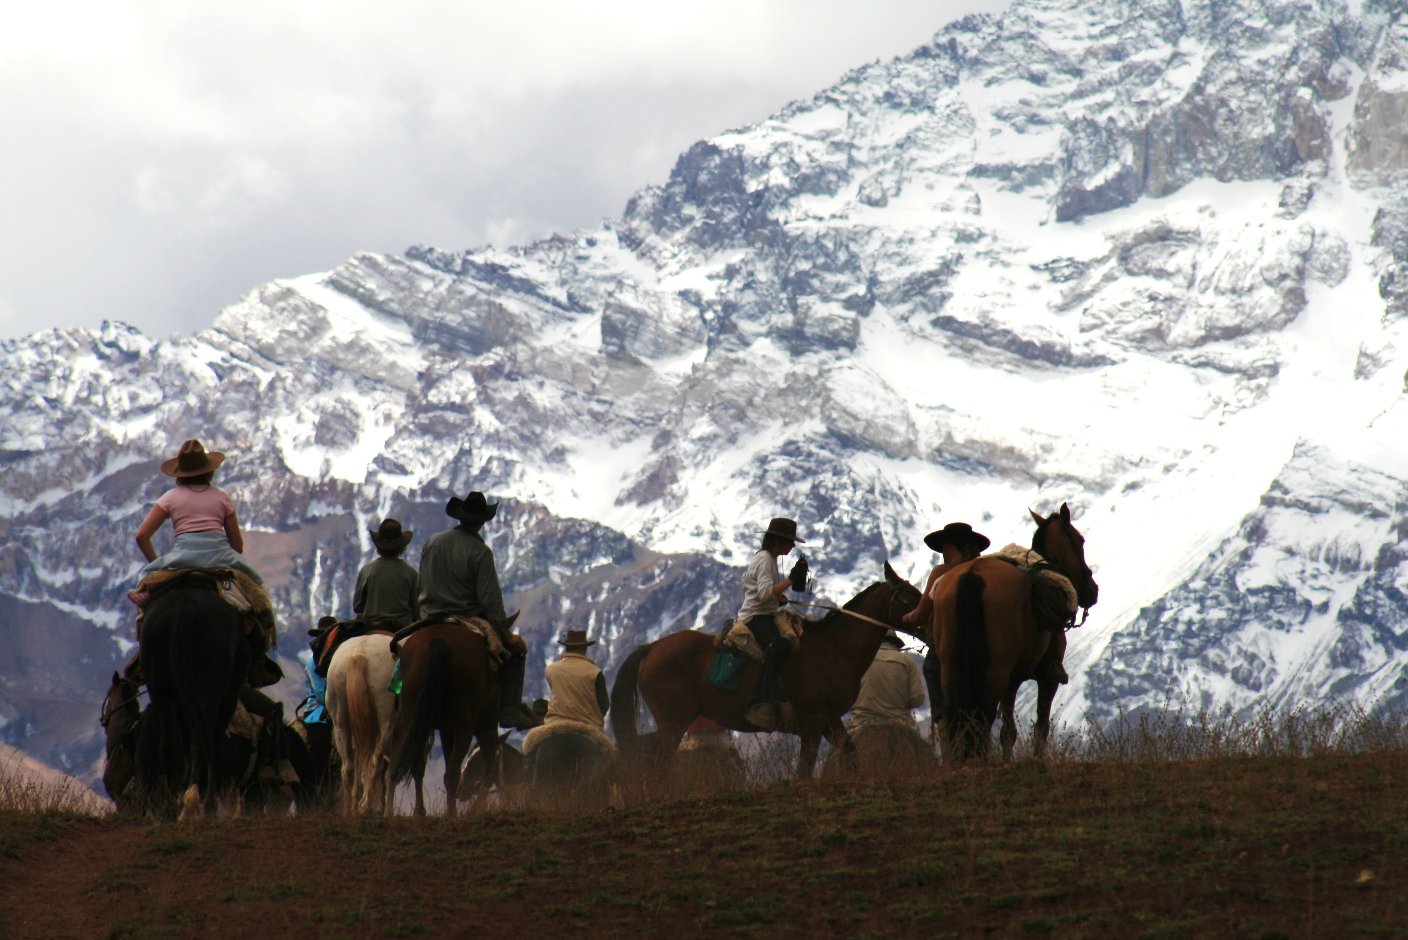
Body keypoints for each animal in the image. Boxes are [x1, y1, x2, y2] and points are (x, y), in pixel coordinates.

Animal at [133, 579, 249, 816]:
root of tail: (187, 608)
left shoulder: (180, 700)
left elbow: (187, 742)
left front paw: (184, 790)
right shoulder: (229, 697)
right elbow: (209, 740)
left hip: (160, 687)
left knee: (168, 745)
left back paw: (173, 804)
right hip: (210, 691)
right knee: (206, 738)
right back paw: (206, 803)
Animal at [322, 636, 397, 810]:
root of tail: (359, 653)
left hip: (341, 724)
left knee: (348, 769)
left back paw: (350, 810)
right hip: (386, 724)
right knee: (375, 763)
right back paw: (366, 806)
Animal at [385, 610, 518, 816]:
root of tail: (437, 639)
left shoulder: (446, 729)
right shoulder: (486, 724)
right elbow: (487, 766)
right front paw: (476, 808)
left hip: (410, 718)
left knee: (400, 764)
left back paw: (395, 811)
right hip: (465, 725)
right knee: (454, 773)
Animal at [608, 565, 918, 776]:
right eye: (908, 597)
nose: (925, 618)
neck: (833, 649)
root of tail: (652, 647)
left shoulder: (829, 720)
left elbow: (850, 755)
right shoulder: (812, 720)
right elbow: (804, 771)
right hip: (673, 722)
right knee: (658, 767)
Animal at [934, 503, 1098, 759]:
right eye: (1080, 540)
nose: (1093, 590)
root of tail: (972, 573)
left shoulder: (1013, 680)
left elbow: (1008, 731)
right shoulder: (1046, 677)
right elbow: (1040, 726)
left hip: (951, 666)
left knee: (955, 715)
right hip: (997, 671)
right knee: (984, 716)